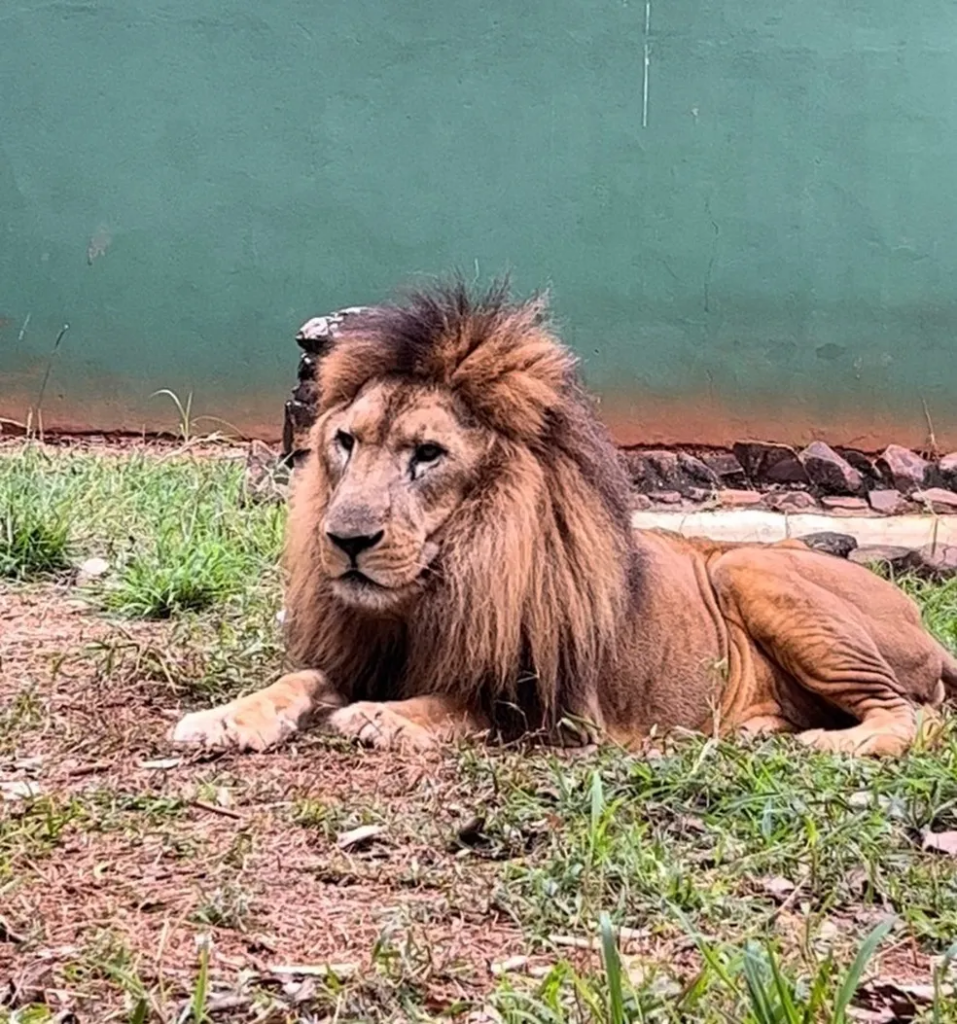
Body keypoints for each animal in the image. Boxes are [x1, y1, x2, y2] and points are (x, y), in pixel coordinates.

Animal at [171, 280, 957, 761]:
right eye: (345, 441)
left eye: (427, 454)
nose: (346, 540)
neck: (432, 591)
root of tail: (923, 625)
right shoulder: (359, 655)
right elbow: (299, 678)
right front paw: (225, 717)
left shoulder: (556, 702)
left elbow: (472, 703)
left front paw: (384, 715)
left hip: (749, 567)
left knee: (914, 712)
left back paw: (834, 744)